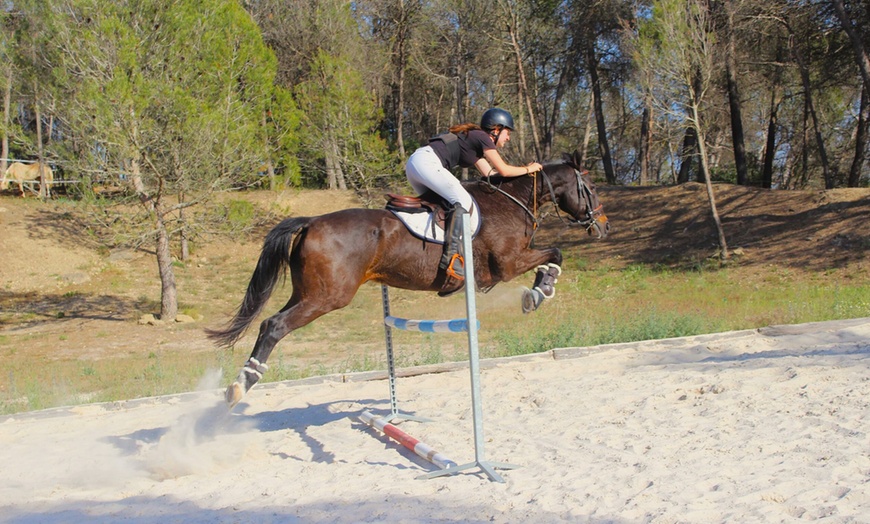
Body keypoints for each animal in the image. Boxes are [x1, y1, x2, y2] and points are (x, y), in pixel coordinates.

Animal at [209, 149, 612, 408]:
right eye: (591, 190)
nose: (604, 227)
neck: (510, 202)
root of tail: (309, 222)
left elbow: (553, 254)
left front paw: (539, 290)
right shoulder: (508, 264)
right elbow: (555, 254)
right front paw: (539, 292)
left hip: (308, 291)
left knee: (269, 322)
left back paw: (242, 382)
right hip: (327, 297)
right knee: (275, 325)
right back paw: (241, 385)